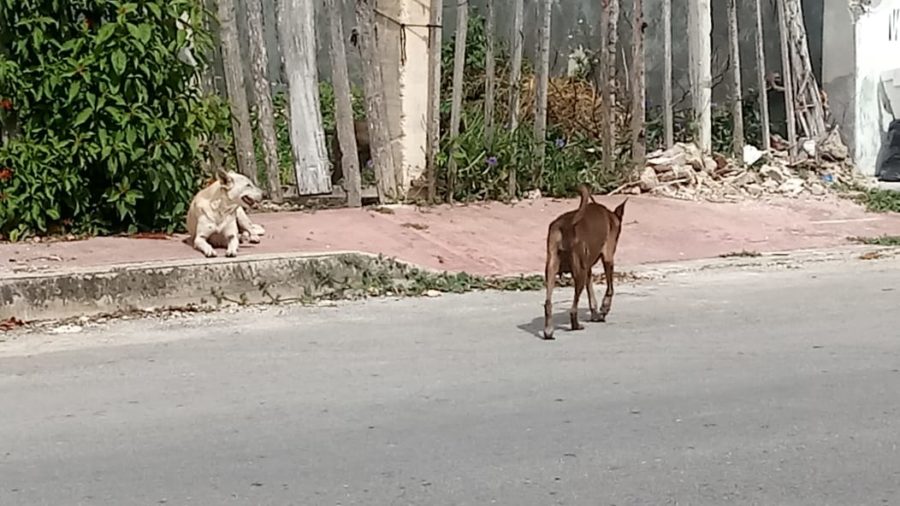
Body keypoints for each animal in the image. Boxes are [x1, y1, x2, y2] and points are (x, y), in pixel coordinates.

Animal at [540, 184, 624, 338]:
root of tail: (568, 223)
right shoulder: (608, 257)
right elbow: (610, 288)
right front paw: (604, 309)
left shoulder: (588, 268)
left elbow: (591, 292)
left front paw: (595, 313)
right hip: (580, 271)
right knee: (573, 307)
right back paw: (576, 325)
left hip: (552, 267)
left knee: (548, 302)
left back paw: (548, 330)